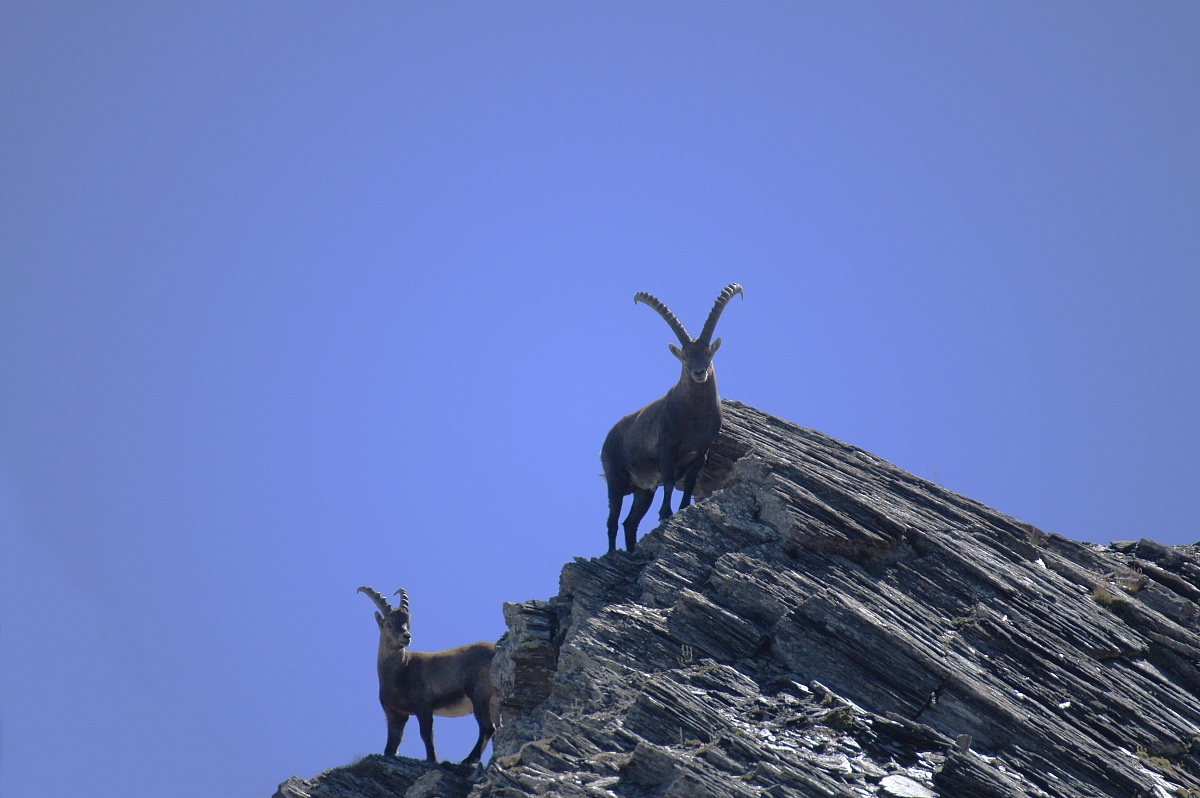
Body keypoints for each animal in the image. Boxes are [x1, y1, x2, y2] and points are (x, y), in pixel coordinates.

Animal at [357, 585, 498, 764]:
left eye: (407, 623)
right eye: (388, 623)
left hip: (479, 695)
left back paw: (469, 759)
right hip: (495, 703)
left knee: (487, 728)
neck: (401, 670)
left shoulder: (423, 704)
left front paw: (432, 759)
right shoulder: (394, 714)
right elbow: (392, 744)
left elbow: (426, 733)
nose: (406, 636)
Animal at [601, 282, 743, 552]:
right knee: (612, 521)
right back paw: (612, 553)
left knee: (629, 523)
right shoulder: (666, 449)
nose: (699, 373)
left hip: (643, 491)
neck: (695, 418)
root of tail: (607, 437)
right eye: (685, 355)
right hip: (614, 480)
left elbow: (689, 483)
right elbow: (668, 481)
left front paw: (683, 509)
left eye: (708, 352)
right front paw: (665, 514)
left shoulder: (701, 452)